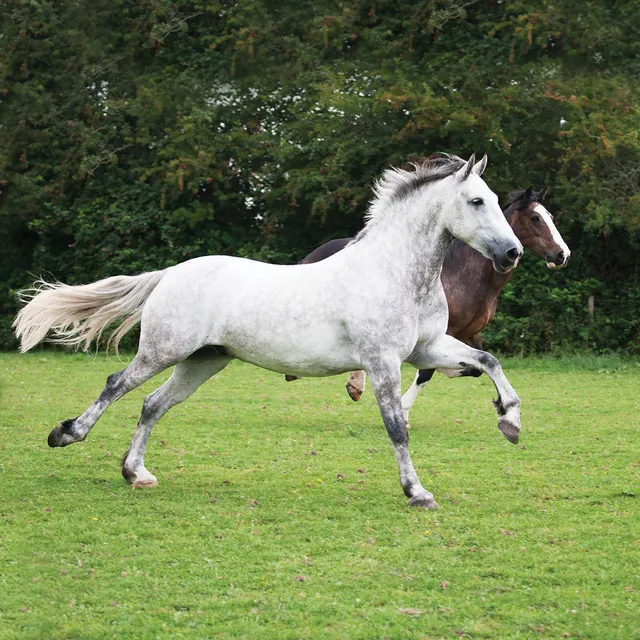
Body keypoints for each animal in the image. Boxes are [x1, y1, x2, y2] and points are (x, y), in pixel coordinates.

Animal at [14, 154, 524, 510]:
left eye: (499, 202)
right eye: (477, 201)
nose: (513, 253)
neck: (394, 272)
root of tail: (171, 273)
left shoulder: (427, 350)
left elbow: (488, 361)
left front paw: (510, 421)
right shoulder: (382, 361)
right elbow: (397, 426)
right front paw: (417, 492)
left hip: (204, 361)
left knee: (153, 404)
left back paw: (136, 473)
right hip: (163, 350)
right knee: (116, 384)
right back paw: (66, 434)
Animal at [291, 187, 571, 428]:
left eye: (550, 216)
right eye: (535, 218)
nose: (562, 255)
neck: (463, 275)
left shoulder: (469, 332)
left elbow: (474, 368)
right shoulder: (436, 334)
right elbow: (426, 373)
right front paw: (403, 411)